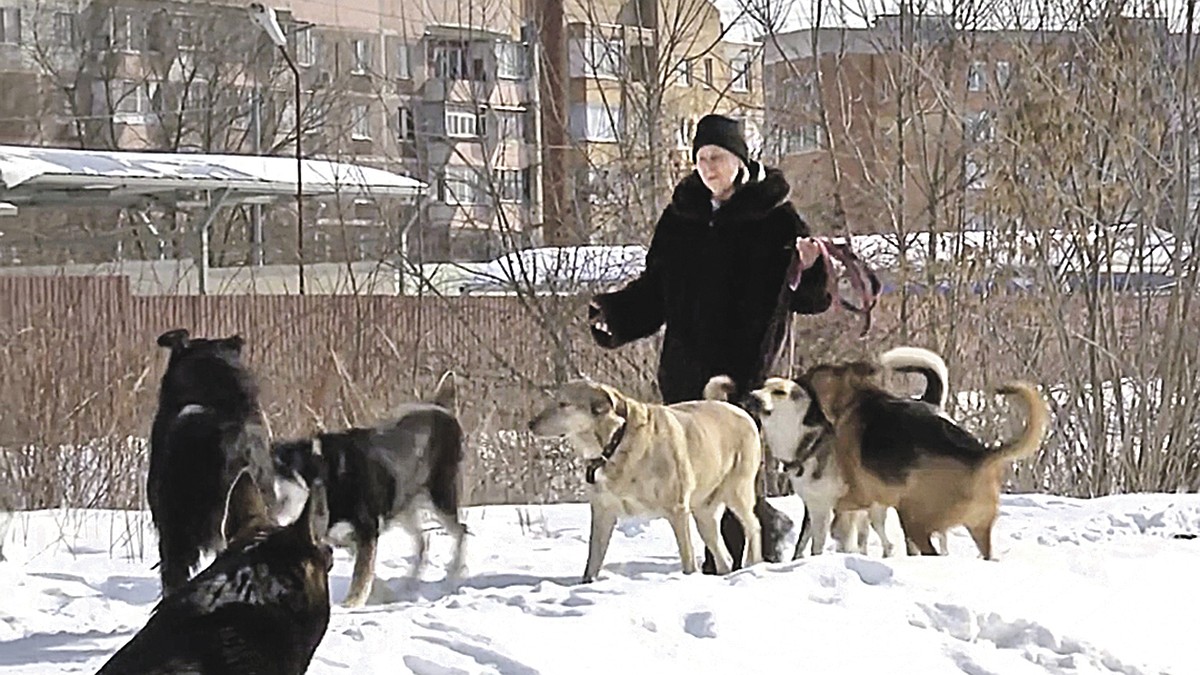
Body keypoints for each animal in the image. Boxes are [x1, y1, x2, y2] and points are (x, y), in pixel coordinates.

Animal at [272, 369, 468, 607]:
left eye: (282, 470)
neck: (328, 479)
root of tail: (439, 408)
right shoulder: (349, 538)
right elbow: (369, 574)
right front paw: (380, 595)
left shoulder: (366, 530)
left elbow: (361, 574)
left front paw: (352, 604)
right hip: (403, 506)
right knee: (423, 541)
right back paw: (408, 585)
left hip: (440, 496)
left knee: (460, 531)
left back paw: (453, 577)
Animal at [530, 379, 763, 578]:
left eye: (563, 404)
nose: (530, 424)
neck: (614, 443)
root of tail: (735, 409)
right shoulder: (603, 512)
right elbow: (593, 561)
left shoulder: (677, 510)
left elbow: (687, 559)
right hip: (704, 513)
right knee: (722, 554)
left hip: (738, 491)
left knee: (753, 526)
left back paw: (753, 562)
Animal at [796, 360, 1051, 559]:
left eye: (813, 373)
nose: (797, 379)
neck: (856, 395)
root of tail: (980, 457)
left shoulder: (860, 488)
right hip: (977, 528)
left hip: (914, 519)